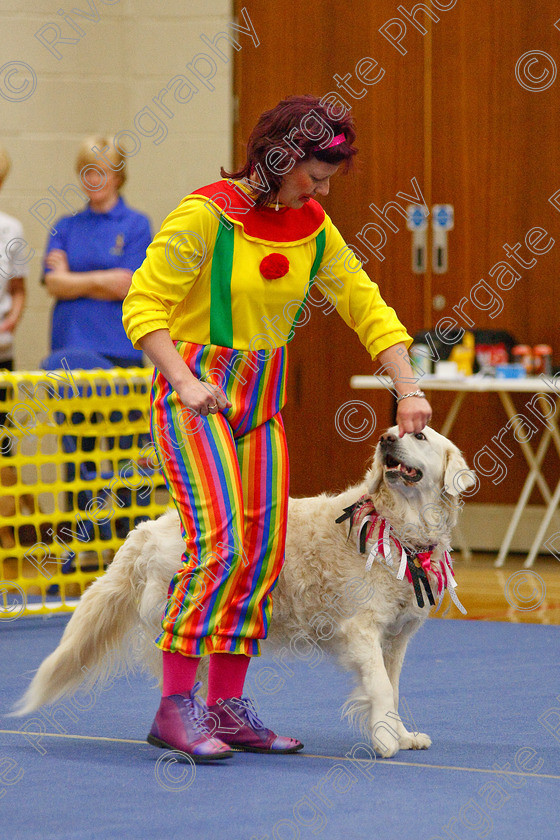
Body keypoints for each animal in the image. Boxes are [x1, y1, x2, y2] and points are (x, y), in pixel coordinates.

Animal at [13, 424, 474, 756]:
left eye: (418, 435)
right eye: (395, 431)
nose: (385, 440)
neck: (398, 526)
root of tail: (145, 531)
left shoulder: (395, 640)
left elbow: (392, 689)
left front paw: (402, 734)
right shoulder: (361, 631)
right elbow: (378, 687)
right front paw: (384, 740)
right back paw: (192, 738)